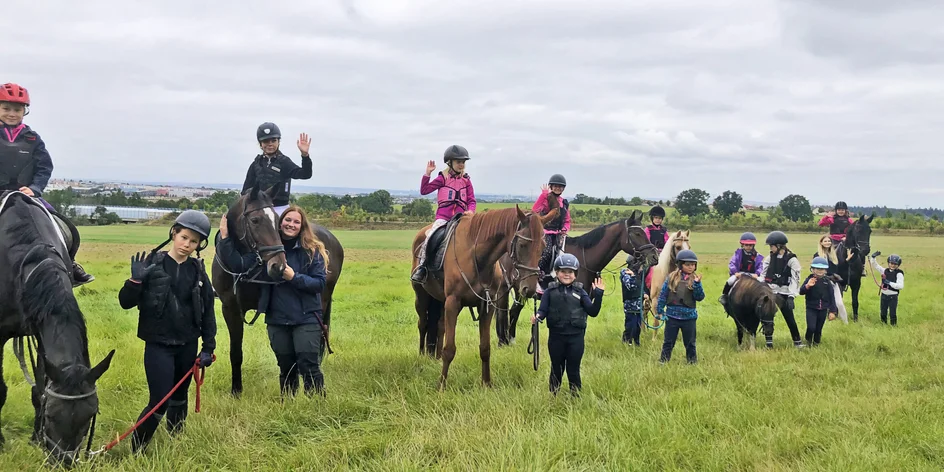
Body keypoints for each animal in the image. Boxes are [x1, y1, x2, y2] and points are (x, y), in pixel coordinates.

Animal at [0, 194, 115, 466]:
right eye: (52, 416)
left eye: (90, 415)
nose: (63, 461)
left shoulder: (40, 334)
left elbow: (40, 390)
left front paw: (34, 438)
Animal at [212, 186, 344, 396]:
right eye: (255, 220)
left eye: (277, 220)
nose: (279, 267)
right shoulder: (230, 309)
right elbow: (235, 352)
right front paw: (236, 391)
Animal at [410, 199, 556, 388]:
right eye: (522, 245)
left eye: (543, 247)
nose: (529, 289)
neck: (477, 258)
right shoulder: (453, 302)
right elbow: (450, 349)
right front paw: (442, 385)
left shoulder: (486, 305)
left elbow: (485, 348)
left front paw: (486, 383)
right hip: (421, 297)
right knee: (423, 324)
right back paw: (422, 356)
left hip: (441, 300)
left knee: (440, 326)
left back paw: (435, 357)